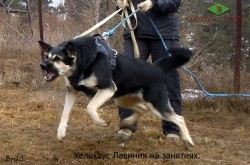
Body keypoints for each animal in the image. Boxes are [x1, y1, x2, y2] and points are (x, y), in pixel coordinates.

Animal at [39, 35, 195, 148]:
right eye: (47, 56)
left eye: (58, 59)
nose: (42, 65)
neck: (83, 62)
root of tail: (156, 68)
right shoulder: (72, 91)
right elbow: (65, 114)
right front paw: (61, 132)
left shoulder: (107, 88)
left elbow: (90, 107)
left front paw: (100, 121)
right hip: (122, 99)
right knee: (142, 108)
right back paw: (127, 122)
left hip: (156, 104)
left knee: (179, 118)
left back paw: (188, 141)